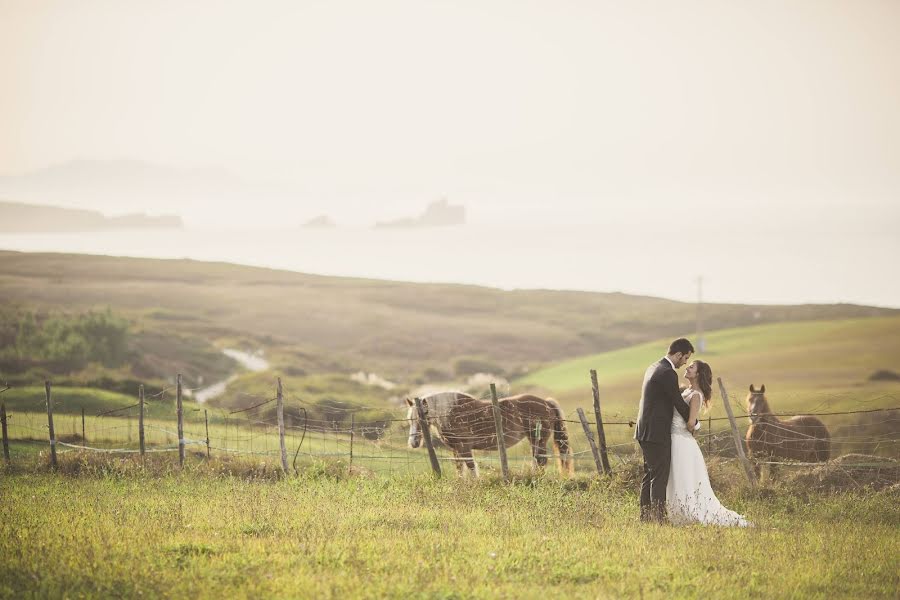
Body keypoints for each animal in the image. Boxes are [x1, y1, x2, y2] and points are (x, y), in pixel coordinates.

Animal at [404, 390, 572, 478]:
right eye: (409, 419)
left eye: (422, 418)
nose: (413, 443)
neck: (451, 412)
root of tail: (547, 403)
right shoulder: (456, 449)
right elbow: (459, 467)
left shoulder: (464, 447)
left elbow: (470, 466)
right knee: (539, 460)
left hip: (538, 439)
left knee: (541, 461)